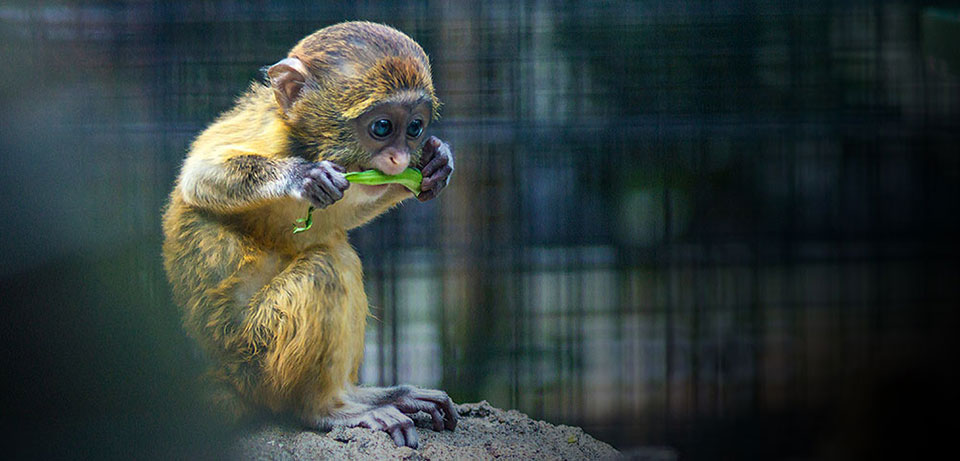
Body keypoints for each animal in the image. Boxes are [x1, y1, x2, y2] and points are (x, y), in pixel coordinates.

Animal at [161, 21, 456, 449]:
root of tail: (229, 375)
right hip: (258, 355)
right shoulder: (269, 134)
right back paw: (326, 408)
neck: (309, 143)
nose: (400, 159)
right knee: (326, 267)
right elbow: (199, 177)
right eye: (382, 127)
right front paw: (302, 177)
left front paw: (436, 164)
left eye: (415, 128)